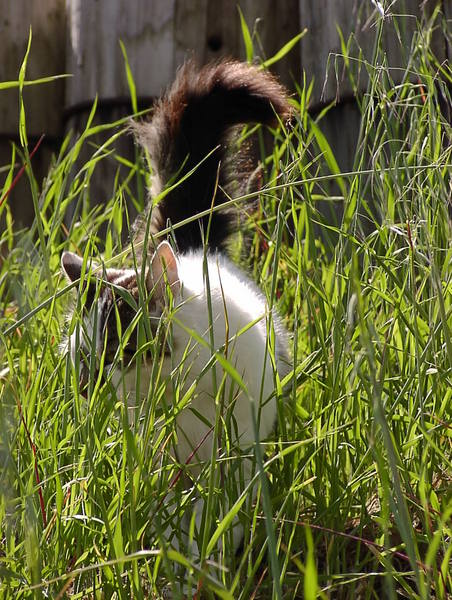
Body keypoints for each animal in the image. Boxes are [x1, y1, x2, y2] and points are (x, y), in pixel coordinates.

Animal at [61, 60, 291, 563]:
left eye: (122, 351)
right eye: (86, 358)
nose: (93, 387)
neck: (181, 387)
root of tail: (191, 245)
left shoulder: (237, 442)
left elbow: (220, 503)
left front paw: (209, 550)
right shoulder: (164, 453)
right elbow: (171, 502)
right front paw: (176, 549)